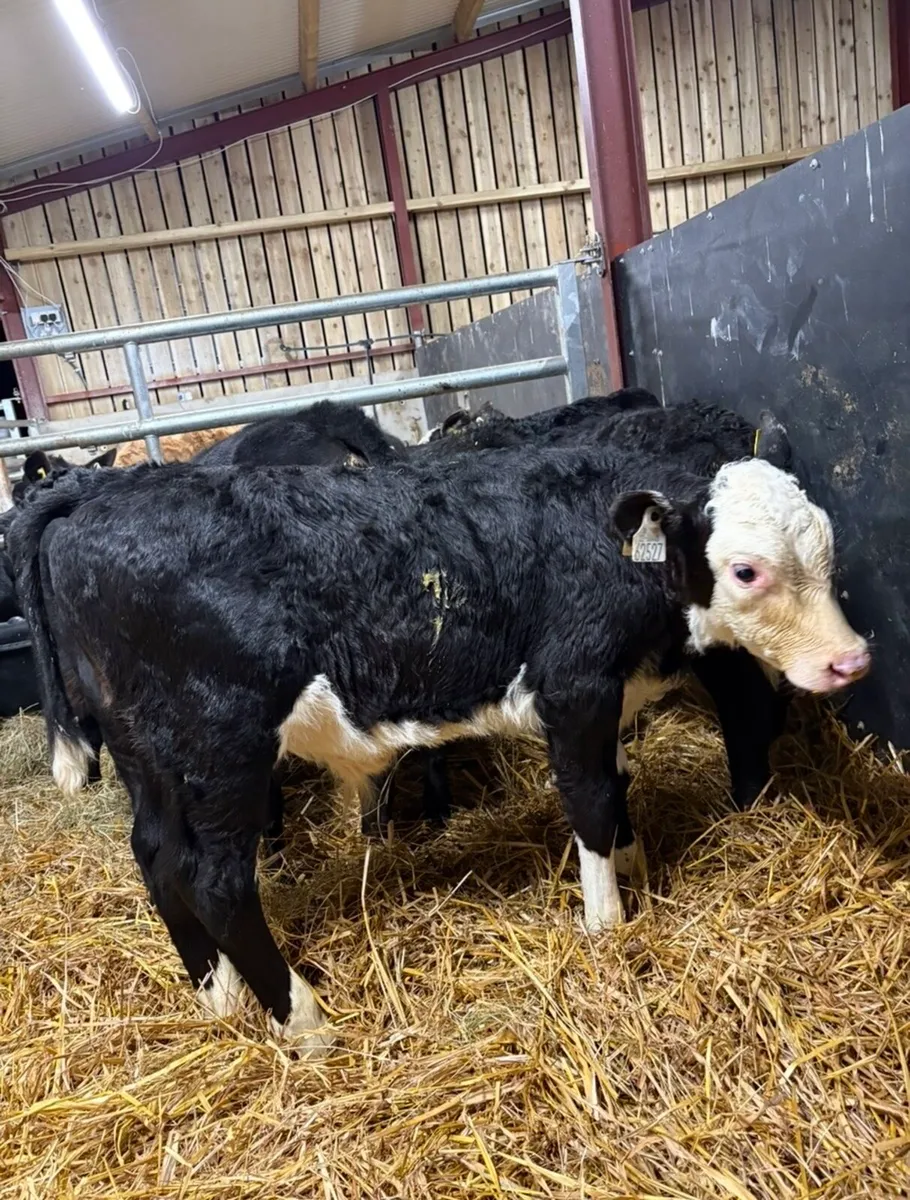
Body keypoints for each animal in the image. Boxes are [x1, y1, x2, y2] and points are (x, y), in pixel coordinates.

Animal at [8, 413, 869, 1052]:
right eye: (746, 570)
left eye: (829, 548)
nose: (850, 659)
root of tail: (98, 496)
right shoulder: (576, 686)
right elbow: (590, 801)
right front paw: (608, 923)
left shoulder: (610, 700)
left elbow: (617, 787)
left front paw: (635, 863)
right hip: (224, 750)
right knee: (215, 880)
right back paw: (303, 1021)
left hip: (146, 754)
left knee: (155, 857)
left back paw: (217, 996)